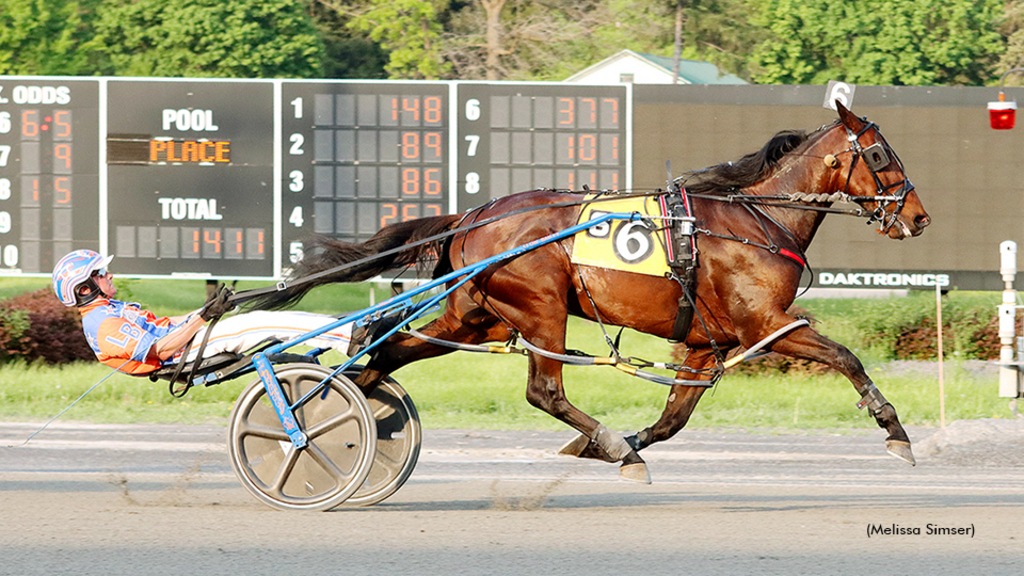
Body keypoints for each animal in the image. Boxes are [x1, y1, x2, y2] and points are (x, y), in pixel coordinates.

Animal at [247, 101, 929, 479]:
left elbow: (672, 419)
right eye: (881, 154)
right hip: (541, 308)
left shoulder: (705, 345)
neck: (755, 221)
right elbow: (847, 356)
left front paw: (610, 444)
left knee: (386, 352)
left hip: (478, 318)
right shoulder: (766, 325)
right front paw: (894, 430)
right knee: (543, 390)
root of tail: (474, 215)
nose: (919, 217)